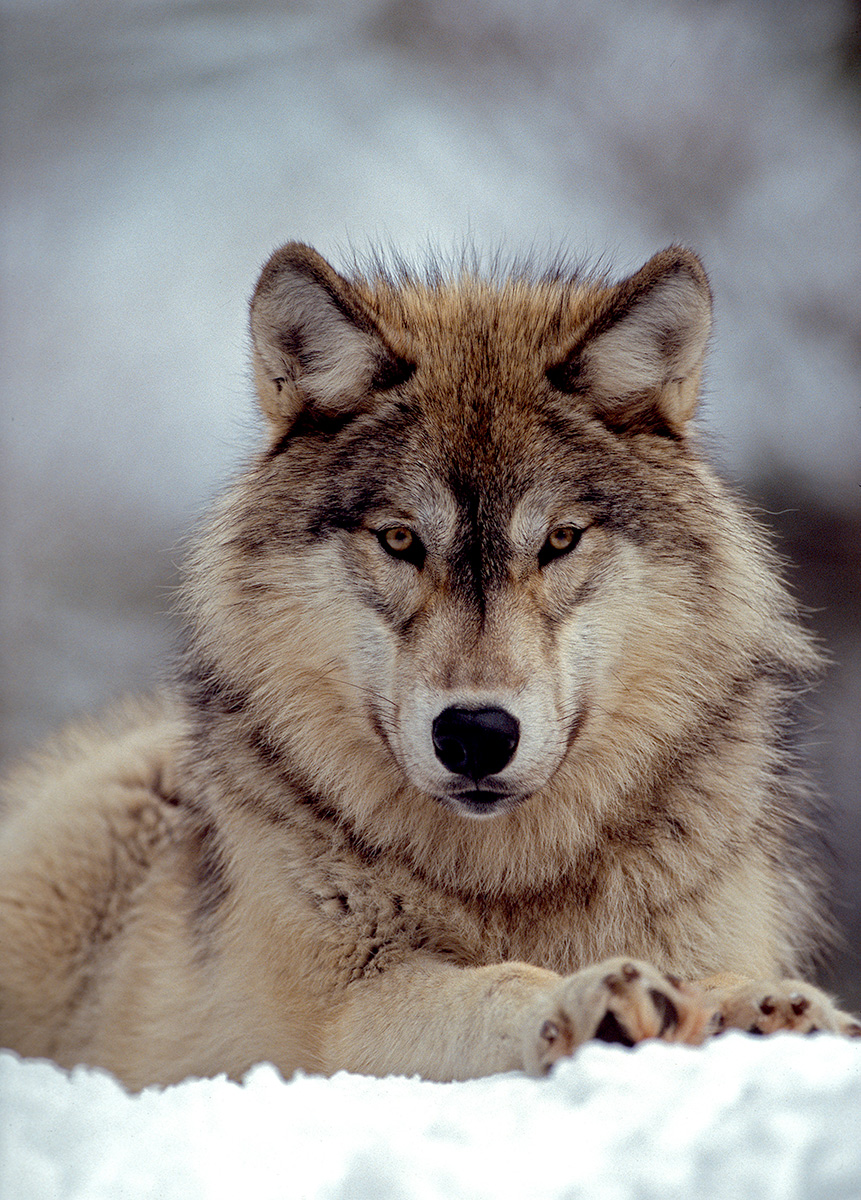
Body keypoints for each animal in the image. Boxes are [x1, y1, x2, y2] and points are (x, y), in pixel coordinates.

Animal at [1, 243, 858, 1089]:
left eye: (559, 540)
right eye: (401, 539)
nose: (476, 732)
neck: (505, 877)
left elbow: (723, 973)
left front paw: (760, 1005)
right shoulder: (340, 1013)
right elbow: (493, 987)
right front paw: (592, 999)